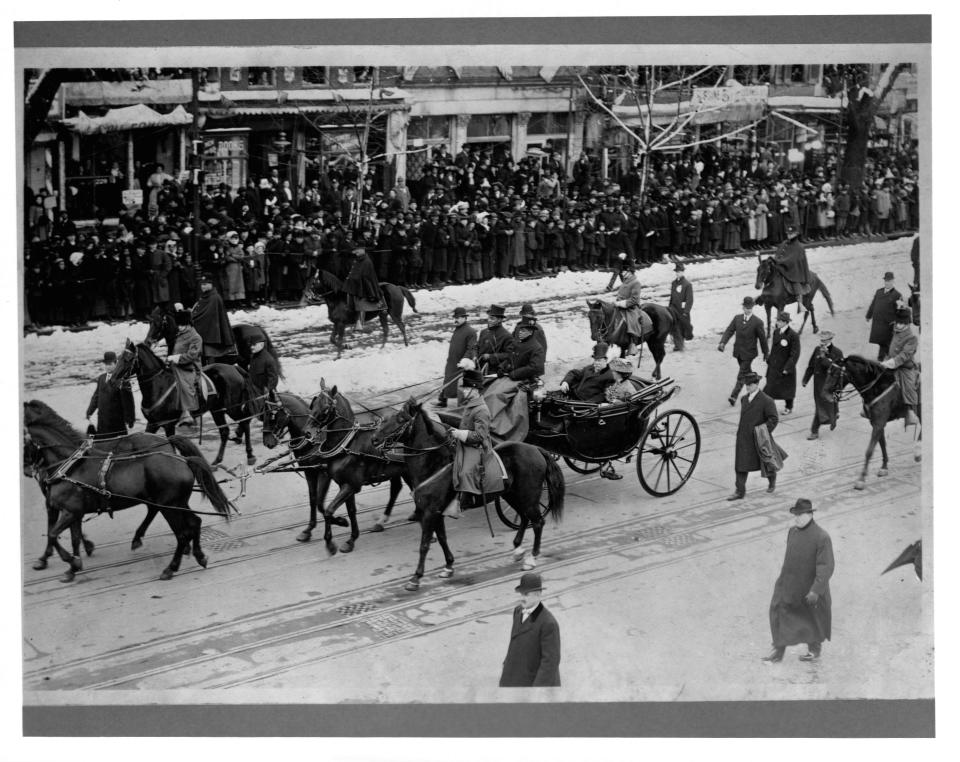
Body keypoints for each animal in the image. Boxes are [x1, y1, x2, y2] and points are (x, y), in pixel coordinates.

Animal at [22, 398, 232, 580]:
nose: (26, 470)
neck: (70, 465)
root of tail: (179, 457)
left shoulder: (69, 511)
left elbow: (52, 534)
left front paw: (68, 561)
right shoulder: (72, 512)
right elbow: (69, 537)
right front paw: (73, 564)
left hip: (169, 506)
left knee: (182, 533)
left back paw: (170, 567)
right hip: (176, 503)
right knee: (194, 523)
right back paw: (198, 555)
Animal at [111, 338, 258, 464]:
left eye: (128, 359)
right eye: (119, 358)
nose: (113, 380)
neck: (158, 385)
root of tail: (234, 368)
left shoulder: (168, 424)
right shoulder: (153, 423)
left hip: (232, 407)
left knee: (245, 422)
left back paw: (250, 454)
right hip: (217, 410)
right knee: (225, 431)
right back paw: (218, 460)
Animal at [368, 400, 564, 592]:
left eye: (401, 419)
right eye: (387, 418)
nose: (374, 439)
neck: (434, 463)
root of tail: (537, 449)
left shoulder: (430, 512)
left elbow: (424, 544)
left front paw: (415, 578)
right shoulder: (437, 513)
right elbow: (442, 539)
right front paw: (448, 566)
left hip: (528, 497)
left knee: (537, 522)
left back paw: (532, 558)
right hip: (512, 495)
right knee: (524, 517)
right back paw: (518, 550)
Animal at [820, 354, 920, 490]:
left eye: (835, 374)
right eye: (828, 372)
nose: (824, 394)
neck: (876, 387)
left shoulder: (879, 423)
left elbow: (869, 451)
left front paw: (861, 479)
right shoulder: (876, 423)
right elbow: (882, 444)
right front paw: (884, 467)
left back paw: (918, 453)